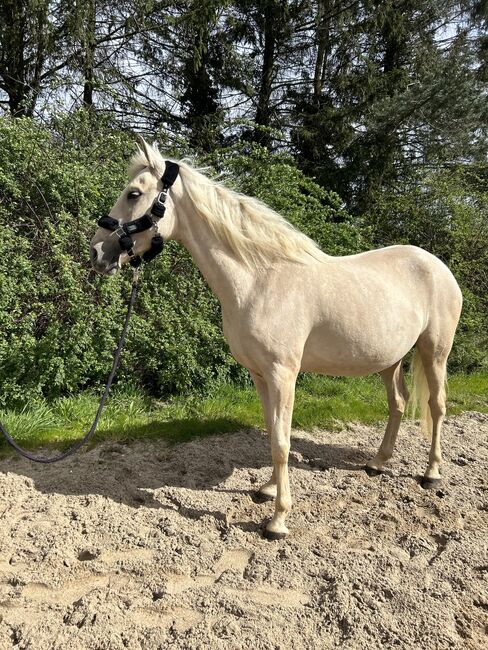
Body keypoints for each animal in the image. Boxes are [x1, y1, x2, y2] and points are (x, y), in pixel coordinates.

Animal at [90, 142, 462, 536]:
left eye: (134, 194)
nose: (96, 252)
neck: (259, 280)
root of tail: (438, 265)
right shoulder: (260, 374)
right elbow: (271, 432)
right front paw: (267, 490)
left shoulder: (283, 374)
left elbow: (283, 442)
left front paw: (278, 519)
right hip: (390, 360)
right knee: (398, 403)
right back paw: (376, 463)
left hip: (435, 351)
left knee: (437, 405)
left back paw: (432, 473)